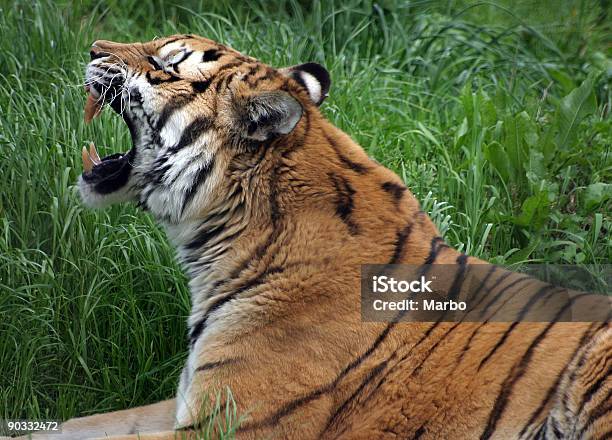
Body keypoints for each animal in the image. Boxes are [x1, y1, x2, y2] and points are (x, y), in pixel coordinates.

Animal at [11, 34, 608, 440]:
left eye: (163, 63)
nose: (92, 45)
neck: (221, 240)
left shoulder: (230, 424)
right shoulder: (185, 400)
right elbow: (71, 423)